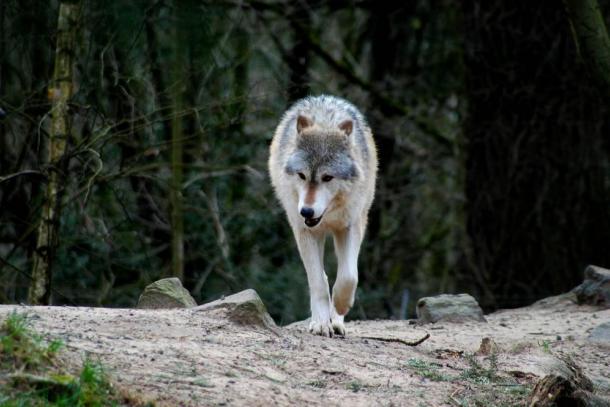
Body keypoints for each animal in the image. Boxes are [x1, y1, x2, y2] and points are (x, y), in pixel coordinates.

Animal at [268, 96, 376, 338]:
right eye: (302, 175)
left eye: (327, 177)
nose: (306, 212)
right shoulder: (305, 231)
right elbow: (318, 282)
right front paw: (319, 324)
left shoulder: (350, 227)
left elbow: (348, 276)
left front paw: (341, 305)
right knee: (324, 278)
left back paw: (336, 321)